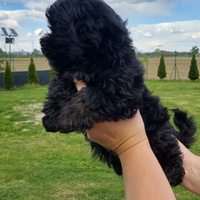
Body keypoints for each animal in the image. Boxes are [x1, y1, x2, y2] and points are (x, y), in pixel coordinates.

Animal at [39, 0, 196, 186]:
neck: (93, 61)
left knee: (171, 152)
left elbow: (88, 98)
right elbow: (58, 86)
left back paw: (172, 173)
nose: (42, 42)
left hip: (159, 134)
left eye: (58, 27)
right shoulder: (70, 74)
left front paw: (63, 119)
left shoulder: (120, 91)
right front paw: (51, 115)